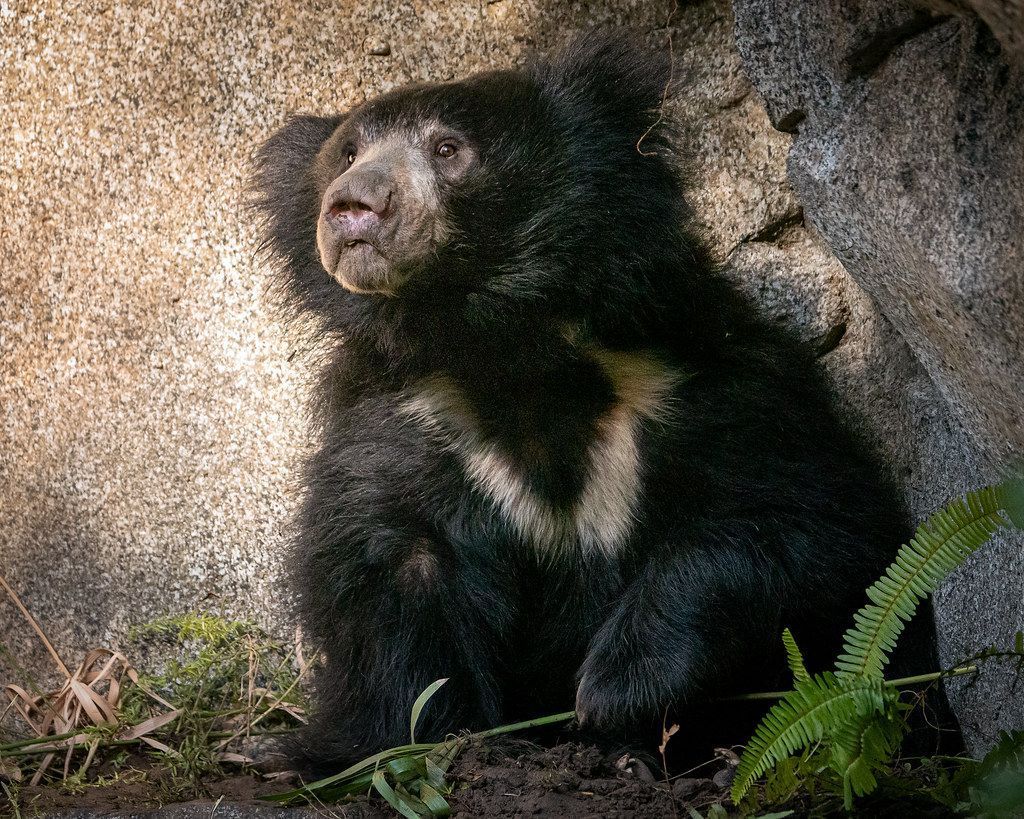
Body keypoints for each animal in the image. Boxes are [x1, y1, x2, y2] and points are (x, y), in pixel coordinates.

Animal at [254, 34, 954, 770]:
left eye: (448, 148)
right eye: (347, 153)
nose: (352, 206)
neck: (500, 342)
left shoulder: (693, 377)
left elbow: (801, 521)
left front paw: (615, 691)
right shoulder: (407, 413)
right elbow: (384, 562)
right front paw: (396, 743)